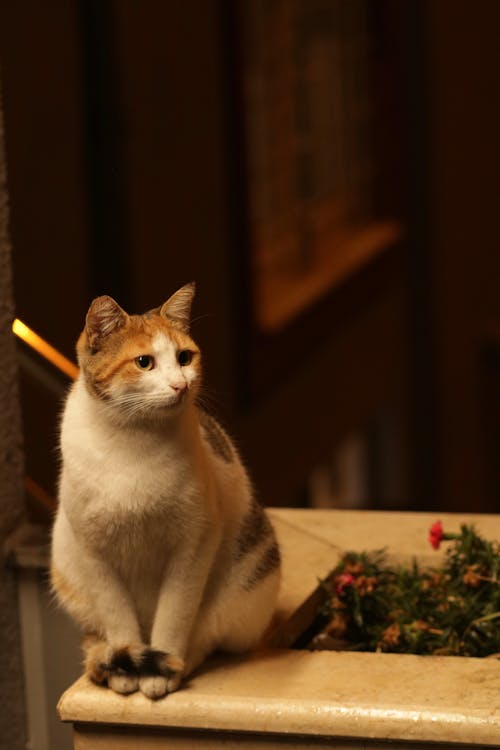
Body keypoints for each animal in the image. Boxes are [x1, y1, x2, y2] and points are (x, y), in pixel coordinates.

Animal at [51, 282, 282, 700]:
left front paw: (162, 669)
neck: (132, 441)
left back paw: (178, 663)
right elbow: (117, 616)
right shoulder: (93, 551)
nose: (181, 384)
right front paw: (127, 667)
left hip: (246, 584)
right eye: (144, 362)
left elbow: (175, 617)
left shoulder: (193, 545)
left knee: (207, 635)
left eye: (184, 357)